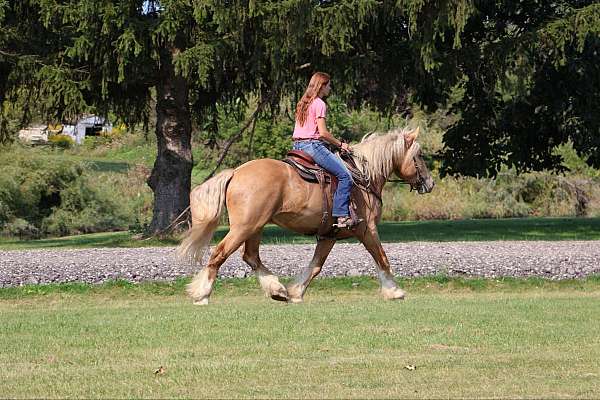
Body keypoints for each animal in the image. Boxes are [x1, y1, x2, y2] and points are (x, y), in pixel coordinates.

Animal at [176, 126, 434, 304]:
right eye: (419, 155)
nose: (430, 183)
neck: (362, 176)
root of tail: (237, 172)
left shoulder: (329, 236)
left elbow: (316, 265)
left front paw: (296, 291)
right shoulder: (366, 229)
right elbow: (382, 258)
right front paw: (394, 290)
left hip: (255, 227)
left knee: (251, 257)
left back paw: (277, 290)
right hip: (244, 227)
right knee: (219, 254)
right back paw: (202, 293)